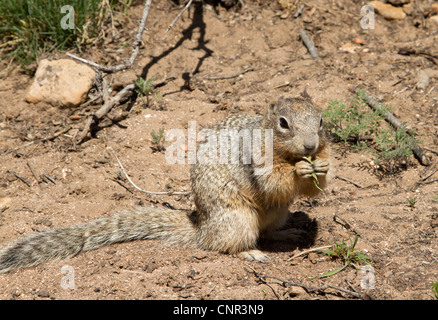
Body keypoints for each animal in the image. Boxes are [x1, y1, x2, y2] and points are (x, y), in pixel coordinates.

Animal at [0, 92, 328, 272]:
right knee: (225, 245)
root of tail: (202, 228)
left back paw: (290, 232)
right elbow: (273, 181)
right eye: (284, 123)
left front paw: (322, 166)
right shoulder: (256, 158)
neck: (286, 153)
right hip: (238, 220)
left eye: (321, 120)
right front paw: (300, 170)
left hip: (278, 212)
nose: (310, 145)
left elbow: (315, 187)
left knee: (269, 232)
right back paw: (249, 252)